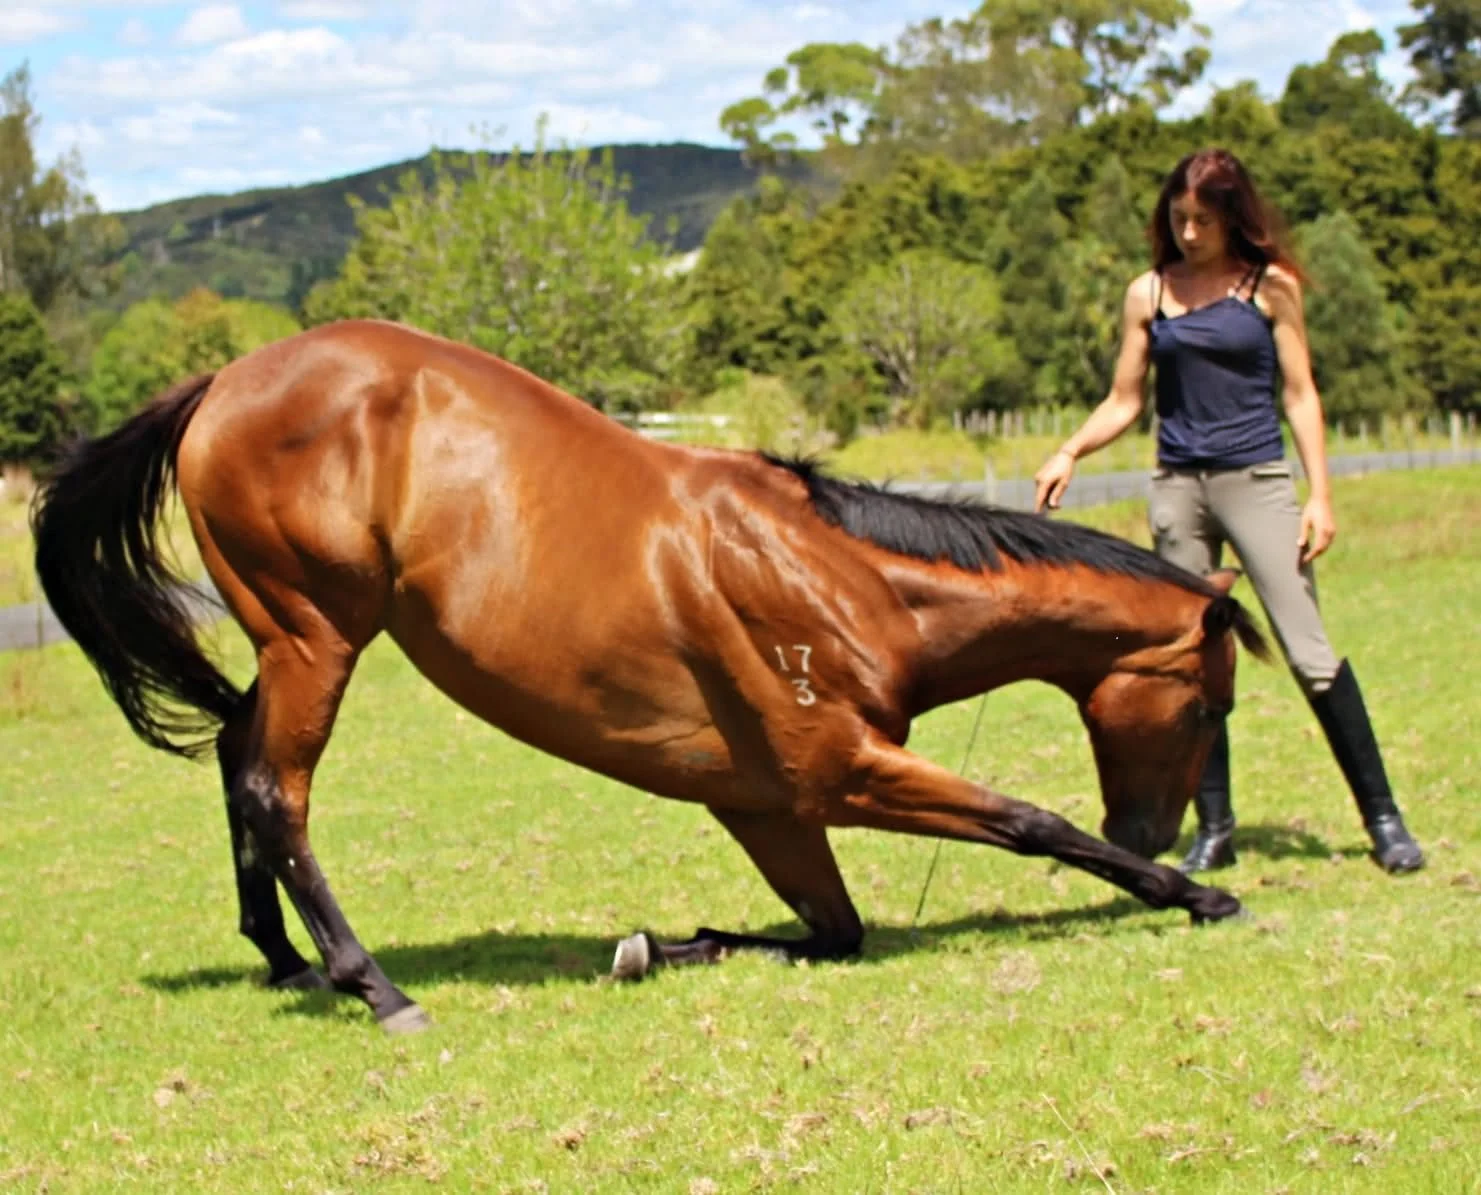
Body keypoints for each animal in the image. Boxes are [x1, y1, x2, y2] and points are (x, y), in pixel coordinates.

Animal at [32, 318, 1270, 1034]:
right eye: (1209, 703)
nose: (1155, 831)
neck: (845, 576)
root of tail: (222, 382)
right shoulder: (842, 772)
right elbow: (1026, 820)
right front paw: (1195, 893)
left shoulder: (763, 806)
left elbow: (833, 931)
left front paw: (654, 947)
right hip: (316, 637)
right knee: (272, 789)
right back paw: (370, 983)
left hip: (287, 644)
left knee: (236, 756)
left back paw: (286, 957)